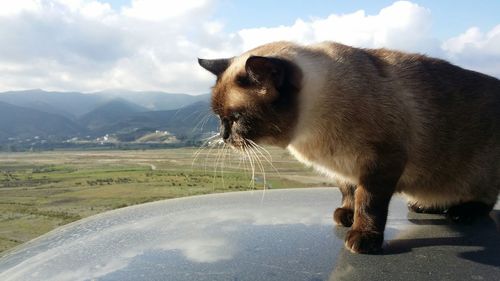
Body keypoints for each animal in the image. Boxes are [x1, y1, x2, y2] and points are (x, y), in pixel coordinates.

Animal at [198, 41, 500, 254]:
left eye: (236, 118)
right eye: (220, 118)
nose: (224, 136)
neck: (313, 129)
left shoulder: (381, 162)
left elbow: (368, 202)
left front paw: (363, 236)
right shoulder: (342, 168)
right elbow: (348, 192)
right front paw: (346, 215)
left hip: (478, 170)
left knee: (485, 200)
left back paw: (462, 212)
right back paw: (425, 206)